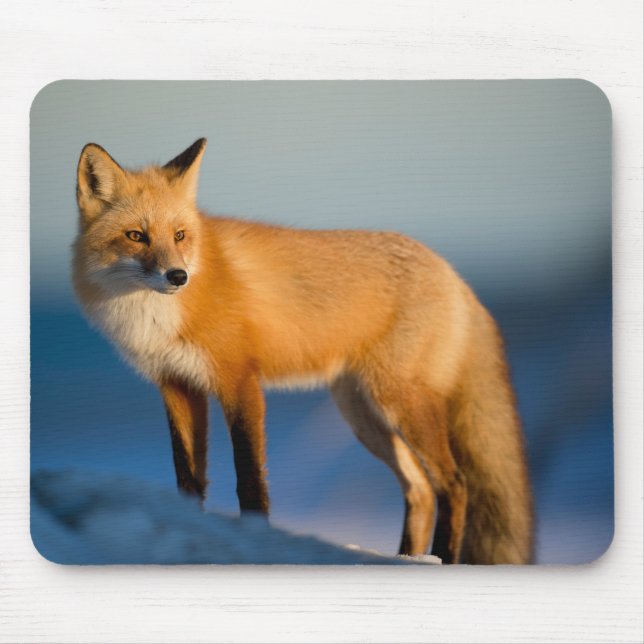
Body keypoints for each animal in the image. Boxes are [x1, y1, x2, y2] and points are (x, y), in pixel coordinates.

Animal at [72, 138, 534, 564]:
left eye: (180, 236)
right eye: (136, 236)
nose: (178, 276)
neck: (155, 316)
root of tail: (453, 274)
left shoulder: (239, 381)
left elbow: (250, 479)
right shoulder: (177, 386)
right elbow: (188, 479)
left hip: (400, 403)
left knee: (454, 484)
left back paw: (441, 558)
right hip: (363, 415)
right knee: (419, 489)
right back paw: (407, 558)